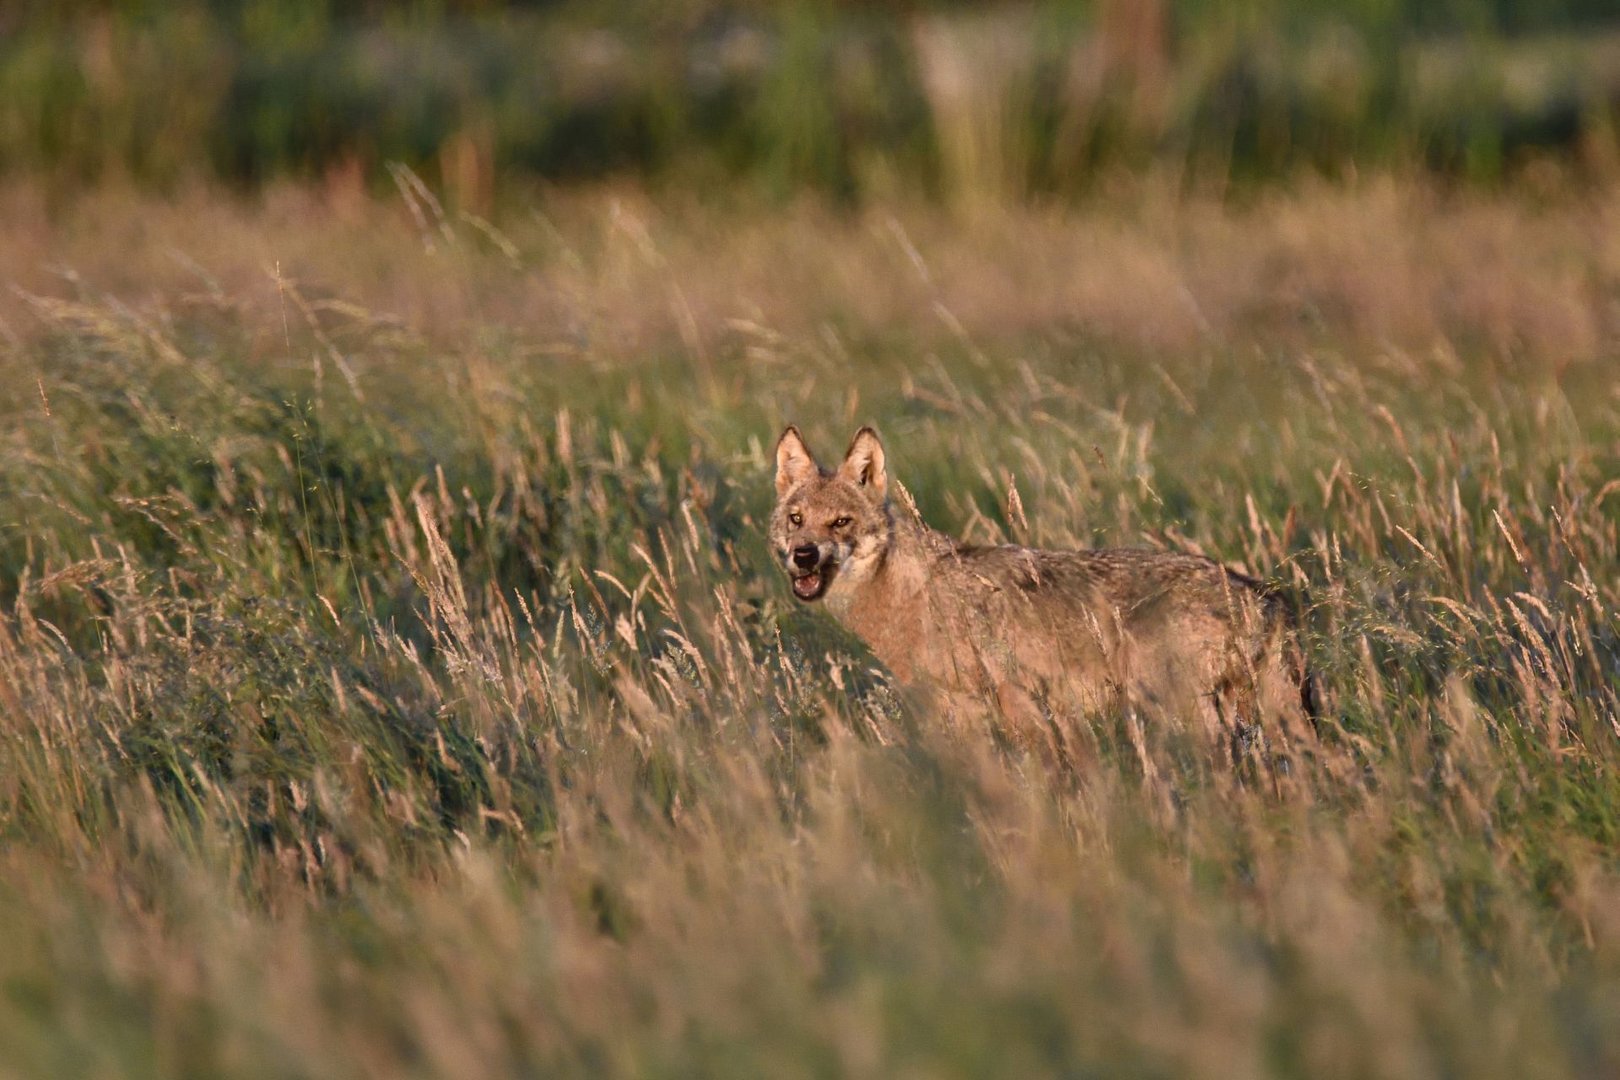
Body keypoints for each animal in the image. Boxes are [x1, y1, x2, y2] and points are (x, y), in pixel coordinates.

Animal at [771, 424, 1315, 761]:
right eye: (796, 520)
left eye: (840, 522)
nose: (804, 555)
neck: (907, 595)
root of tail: (1264, 595)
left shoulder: (989, 706)